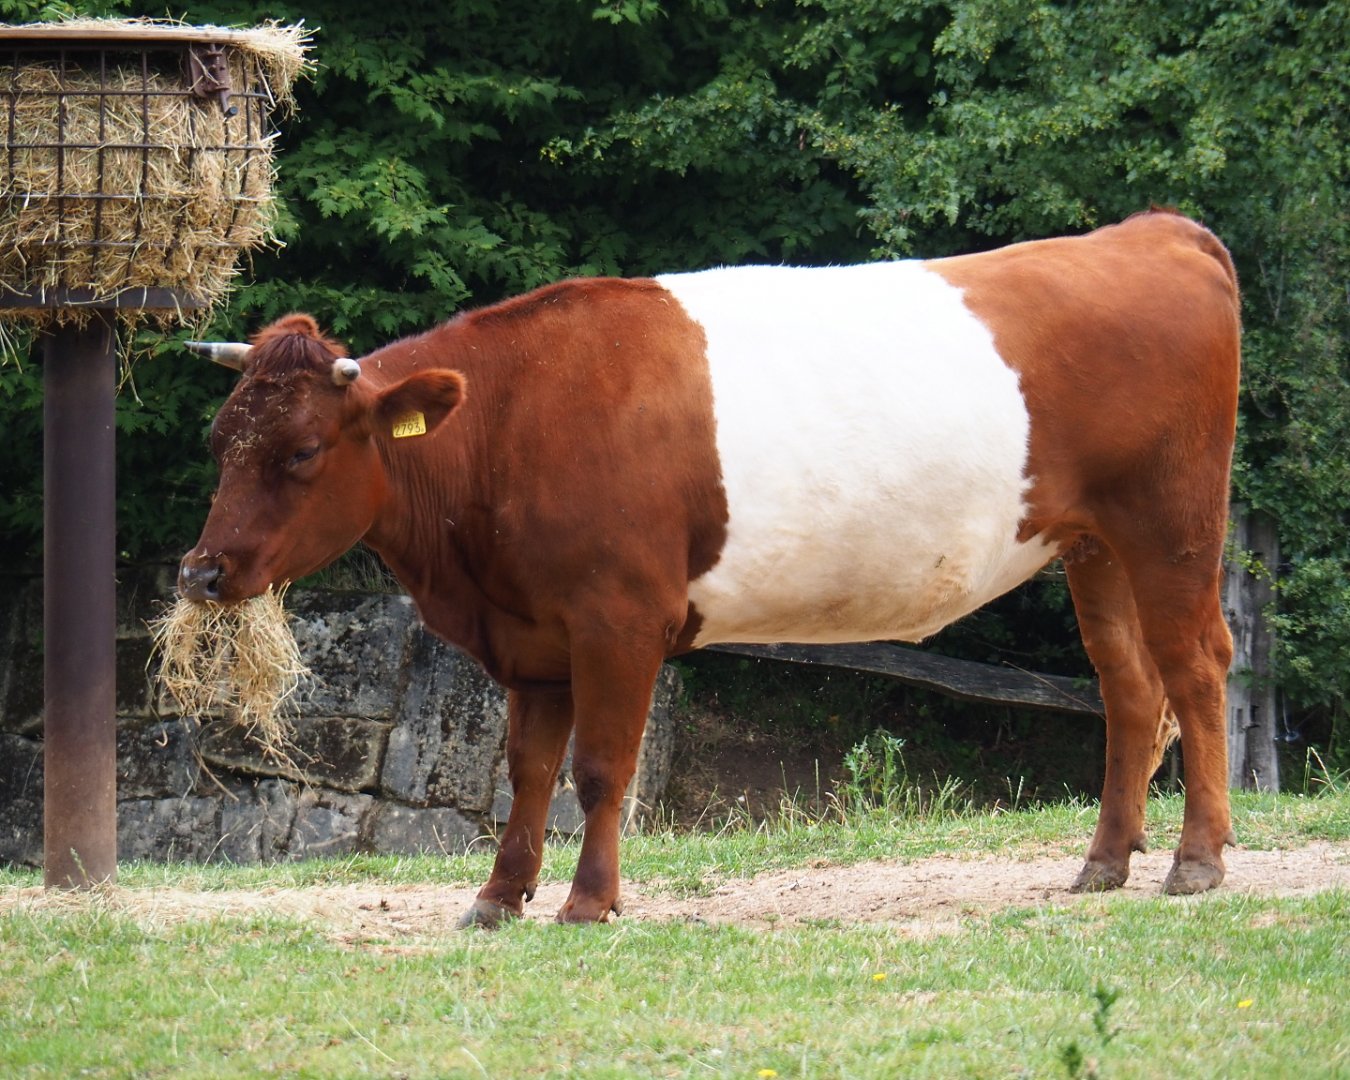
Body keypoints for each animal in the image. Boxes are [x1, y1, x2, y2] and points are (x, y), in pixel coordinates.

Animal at [179, 209, 1241, 926]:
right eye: (219, 439)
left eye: (302, 453)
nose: (200, 572)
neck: (511, 422)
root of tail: (1154, 232)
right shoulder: (534, 638)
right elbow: (527, 771)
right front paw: (498, 897)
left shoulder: (618, 617)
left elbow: (601, 767)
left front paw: (588, 902)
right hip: (1095, 546)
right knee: (1130, 689)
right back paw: (1105, 863)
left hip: (1173, 526)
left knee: (1196, 670)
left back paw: (1197, 862)